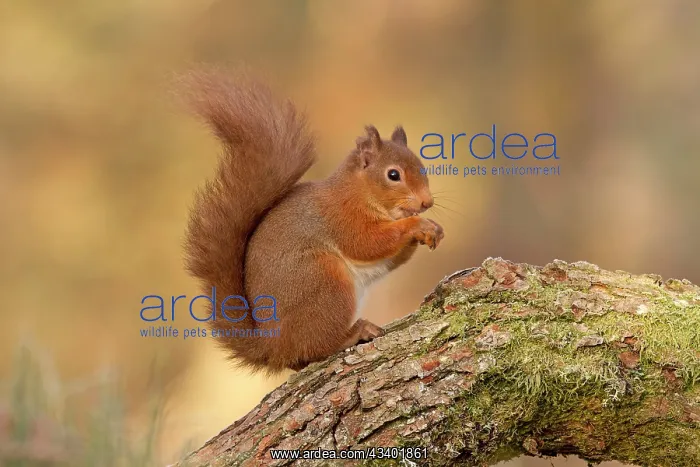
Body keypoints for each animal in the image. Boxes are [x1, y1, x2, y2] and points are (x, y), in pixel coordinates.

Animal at [181, 69, 444, 373]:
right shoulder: (342, 217)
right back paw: (354, 333)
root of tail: (274, 348)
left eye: (422, 167)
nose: (426, 203)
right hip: (324, 282)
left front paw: (432, 229)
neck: (358, 191)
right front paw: (417, 226)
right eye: (393, 175)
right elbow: (367, 243)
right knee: (315, 348)